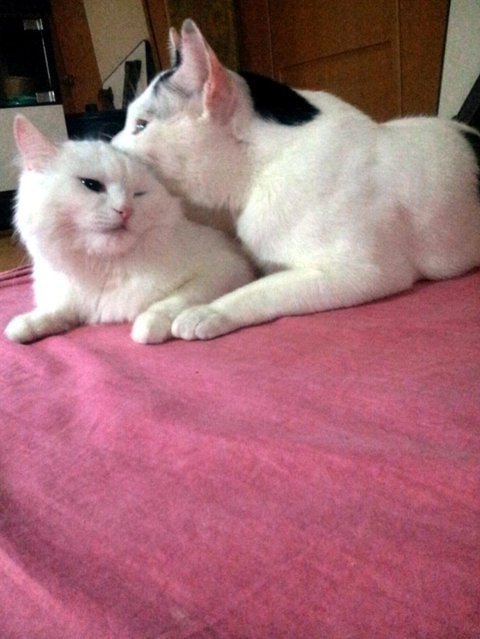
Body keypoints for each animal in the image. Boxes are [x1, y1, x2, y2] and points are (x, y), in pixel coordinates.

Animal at [4, 115, 254, 344]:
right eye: (91, 185)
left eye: (139, 193)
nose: (125, 210)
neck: (103, 268)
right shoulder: (69, 300)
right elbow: (55, 311)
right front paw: (25, 325)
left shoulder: (227, 269)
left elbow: (176, 299)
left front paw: (149, 324)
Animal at [112, 19, 480, 341]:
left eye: (141, 125)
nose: (108, 145)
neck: (260, 173)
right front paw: (162, 313)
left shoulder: (362, 272)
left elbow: (260, 290)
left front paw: (209, 311)